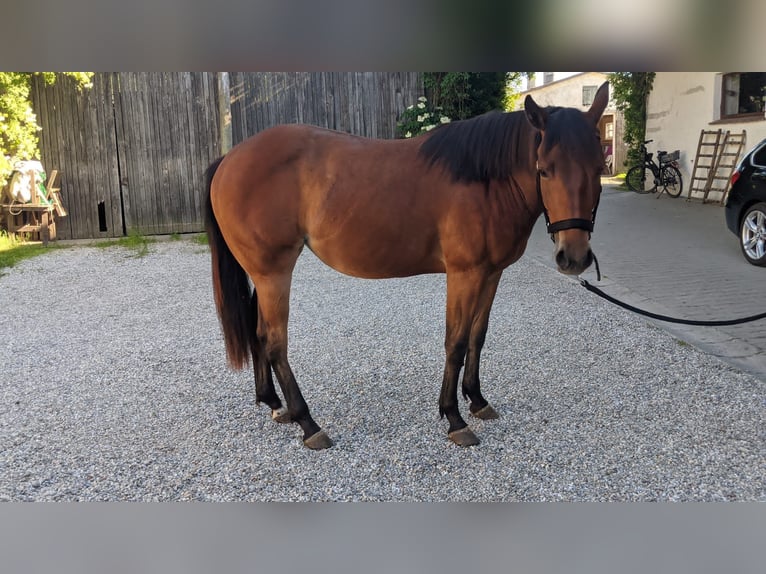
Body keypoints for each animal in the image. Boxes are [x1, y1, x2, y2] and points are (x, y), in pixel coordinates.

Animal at [204, 81, 609, 449]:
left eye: (597, 168)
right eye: (544, 170)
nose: (574, 257)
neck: (486, 180)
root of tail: (228, 160)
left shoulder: (491, 274)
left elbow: (478, 336)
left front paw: (477, 400)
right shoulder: (465, 274)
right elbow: (455, 342)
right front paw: (454, 418)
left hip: (263, 275)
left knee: (258, 332)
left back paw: (275, 405)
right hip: (274, 274)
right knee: (275, 343)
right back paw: (308, 423)